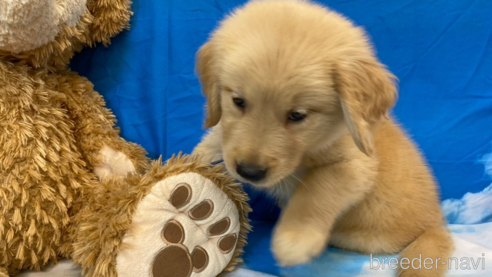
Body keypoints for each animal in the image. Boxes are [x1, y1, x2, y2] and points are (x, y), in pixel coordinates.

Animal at [191, 1, 454, 274]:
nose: (249, 172)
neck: (315, 143)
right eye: (238, 101)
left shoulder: (356, 167)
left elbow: (316, 189)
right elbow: (220, 133)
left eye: (297, 115)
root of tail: (436, 223)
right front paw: (198, 156)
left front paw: (295, 238)